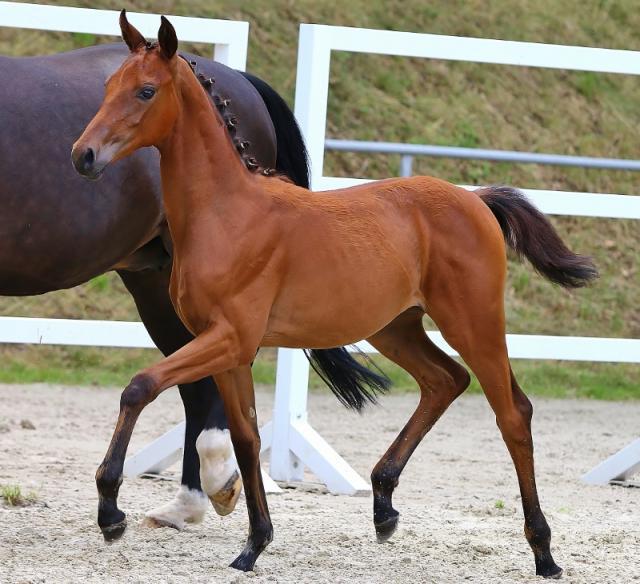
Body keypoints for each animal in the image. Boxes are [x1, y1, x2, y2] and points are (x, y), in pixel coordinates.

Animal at [1, 40, 384, 524]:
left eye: (147, 91)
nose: (83, 156)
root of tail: (236, 78)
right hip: (157, 283)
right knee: (194, 385)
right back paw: (191, 497)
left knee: (201, 385)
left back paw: (211, 480)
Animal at [72, 11, 596, 576]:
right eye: (109, 85)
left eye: (146, 90)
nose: (84, 155)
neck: (226, 213)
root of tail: (474, 198)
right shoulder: (231, 351)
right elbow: (247, 437)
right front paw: (253, 546)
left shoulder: (230, 339)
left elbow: (139, 386)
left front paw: (110, 512)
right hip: (395, 328)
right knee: (445, 380)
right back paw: (384, 506)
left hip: (473, 322)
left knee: (512, 412)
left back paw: (544, 551)